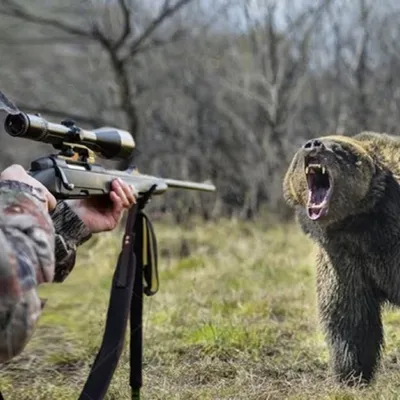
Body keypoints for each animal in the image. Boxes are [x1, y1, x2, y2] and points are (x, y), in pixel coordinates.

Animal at [282, 133, 400, 386]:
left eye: (338, 148)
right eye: (304, 147)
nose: (312, 144)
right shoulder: (342, 260)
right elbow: (349, 317)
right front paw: (351, 374)